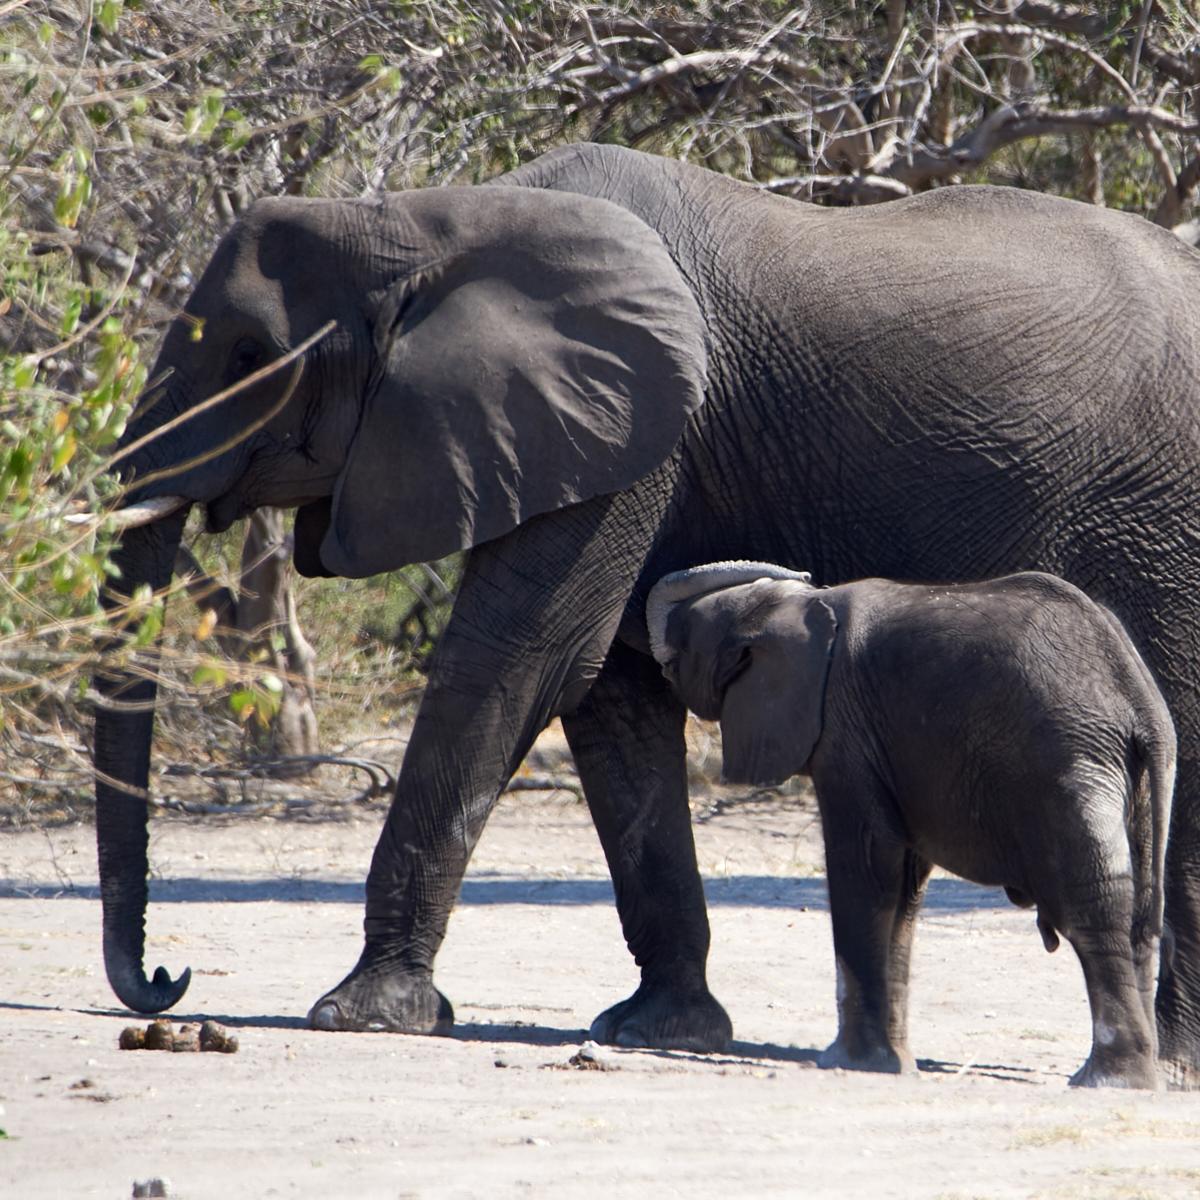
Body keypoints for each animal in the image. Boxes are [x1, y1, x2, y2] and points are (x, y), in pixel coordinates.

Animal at [646, 561, 1175, 1088]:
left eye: (684, 647)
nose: (806, 571)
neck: (797, 607)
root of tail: (1140, 702)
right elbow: (903, 890)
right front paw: (895, 1066)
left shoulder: (843, 732)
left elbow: (864, 869)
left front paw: (849, 1062)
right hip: (1135, 779)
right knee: (1139, 912)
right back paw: (1139, 1075)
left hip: (1066, 764)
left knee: (1096, 903)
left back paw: (1107, 1080)